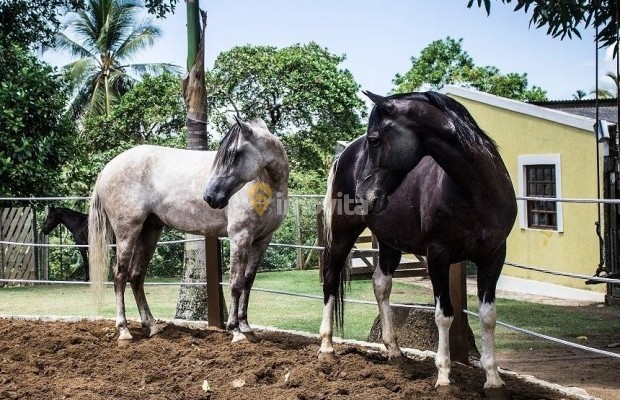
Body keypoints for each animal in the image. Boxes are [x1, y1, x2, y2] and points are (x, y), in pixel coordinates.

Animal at [88, 117, 290, 342]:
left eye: (234, 154)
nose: (210, 196)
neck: (265, 185)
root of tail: (108, 168)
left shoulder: (262, 240)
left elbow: (248, 281)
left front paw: (246, 328)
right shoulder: (240, 237)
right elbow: (236, 283)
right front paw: (236, 331)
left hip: (149, 231)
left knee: (136, 276)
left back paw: (152, 326)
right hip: (127, 232)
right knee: (120, 276)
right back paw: (124, 330)